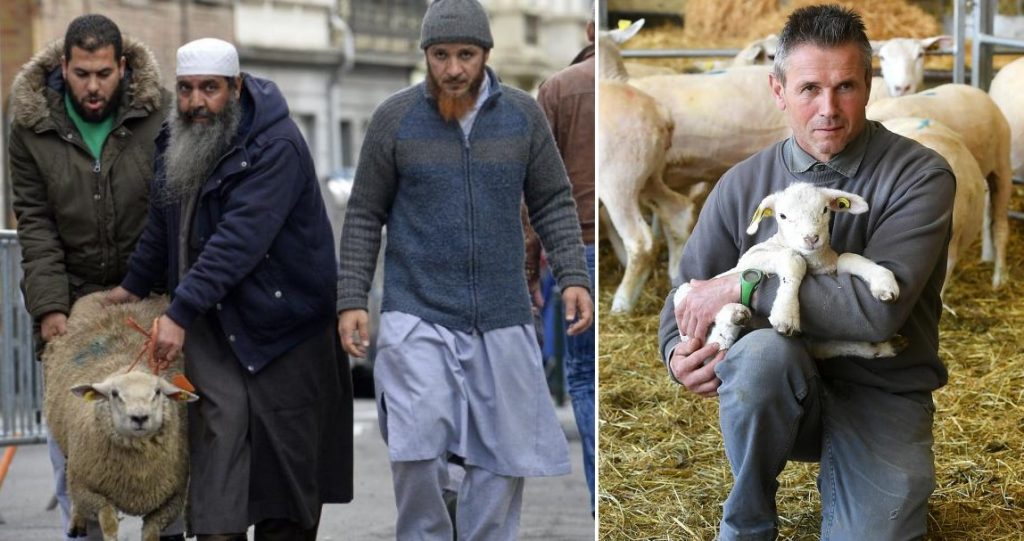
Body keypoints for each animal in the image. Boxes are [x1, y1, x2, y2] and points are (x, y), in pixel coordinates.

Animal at [42, 290, 197, 541]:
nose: (140, 417)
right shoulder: (88, 489)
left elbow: (151, 532)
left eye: (157, 392)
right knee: (68, 481)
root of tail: (107, 293)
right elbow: (108, 521)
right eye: (114, 394)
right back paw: (76, 522)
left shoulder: (173, 499)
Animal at [671, 182, 905, 358]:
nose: (811, 238)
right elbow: (793, 259)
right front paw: (786, 315)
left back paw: (885, 346)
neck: (815, 262)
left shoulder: (831, 269)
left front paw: (885, 284)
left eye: (825, 209)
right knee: (713, 343)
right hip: (687, 300)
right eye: (782, 216)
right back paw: (733, 316)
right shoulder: (753, 257)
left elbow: (849, 257)